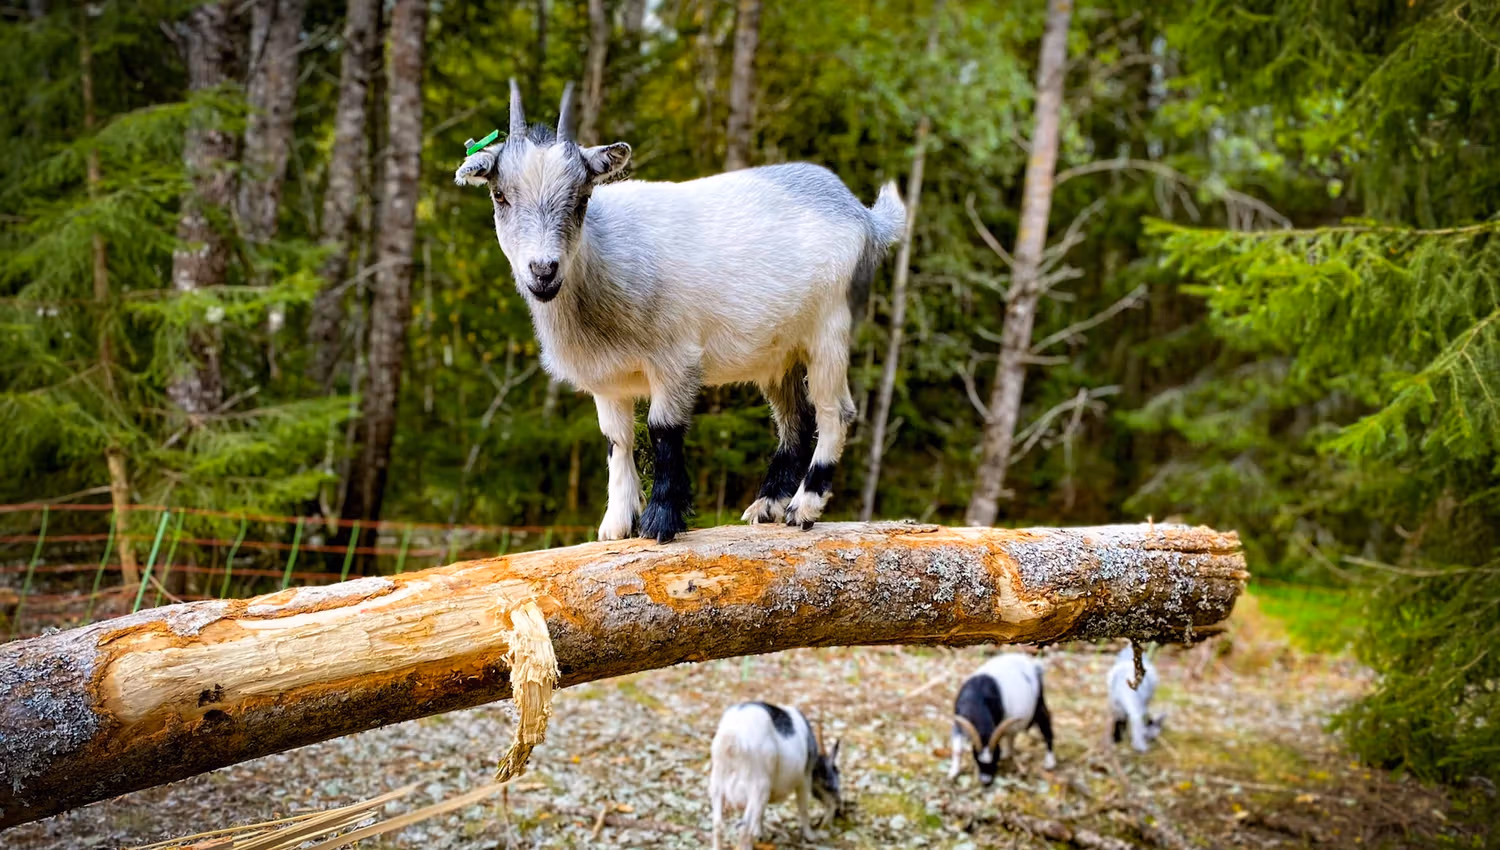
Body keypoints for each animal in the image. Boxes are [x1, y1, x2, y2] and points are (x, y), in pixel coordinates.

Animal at [455, 82, 905, 543]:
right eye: (500, 195)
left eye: (582, 198)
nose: (543, 270)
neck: (601, 259)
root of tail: (865, 217)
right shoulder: (609, 381)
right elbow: (617, 440)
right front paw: (616, 525)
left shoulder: (675, 359)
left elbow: (663, 430)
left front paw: (660, 521)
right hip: (779, 354)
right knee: (795, 419)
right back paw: (767, 504)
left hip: (829, 330)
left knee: (836, 412)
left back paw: (804, 506)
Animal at [709, 701, 841, 850]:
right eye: (830, 785)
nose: (838, 808)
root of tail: (732, 737)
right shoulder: (804, 780)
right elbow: (803, 809)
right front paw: (810, 836)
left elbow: (760, 815)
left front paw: (759, 834)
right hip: (759, 788)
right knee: (744, 829)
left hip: (717, 785)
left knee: (718, 825)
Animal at [948, 652, 1057, 785]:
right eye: (976, 757)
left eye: (996, 757)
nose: (986, 781)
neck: (976, 699)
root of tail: (1035, 666)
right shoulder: (958, 722)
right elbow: (957, 749)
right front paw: (953, 773)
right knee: (1011, 735)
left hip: (1038, 704)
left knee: (1046, 727)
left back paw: (1049, 762)